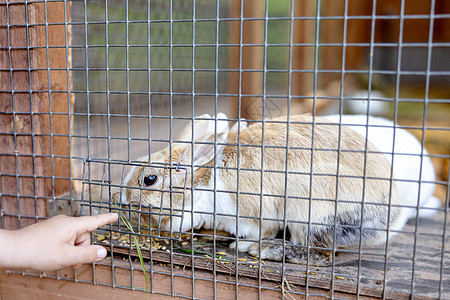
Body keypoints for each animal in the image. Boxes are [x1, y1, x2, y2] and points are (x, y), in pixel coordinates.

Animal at [119, 113, 404, 264]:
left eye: (149, 179)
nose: (120, 201)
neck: (204, 182)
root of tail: (392, 217)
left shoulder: (254, 212)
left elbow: (263, 228)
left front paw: (244, 244)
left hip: (307, 205)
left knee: (319, 252)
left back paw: (265, 249)